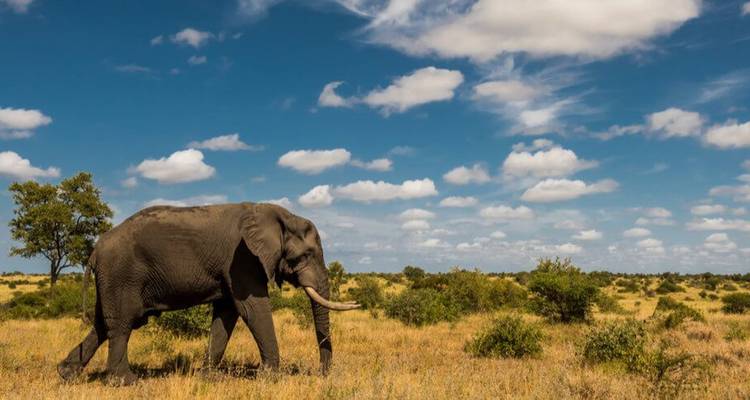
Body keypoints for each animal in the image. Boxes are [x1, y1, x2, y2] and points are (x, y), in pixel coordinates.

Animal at [57, 202, 359, 385]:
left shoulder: (235, 268)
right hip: (121, 274)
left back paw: (67, 374)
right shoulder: (243, 259)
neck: (278, 214)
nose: (322, 374)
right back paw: (126, 382)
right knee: (121, 324)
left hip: (111, 279)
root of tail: (95, 250)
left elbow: (226, 314)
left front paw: (208, 377)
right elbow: (253, 309)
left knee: (102, 324)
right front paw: (270, 377)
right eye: (306, 255)